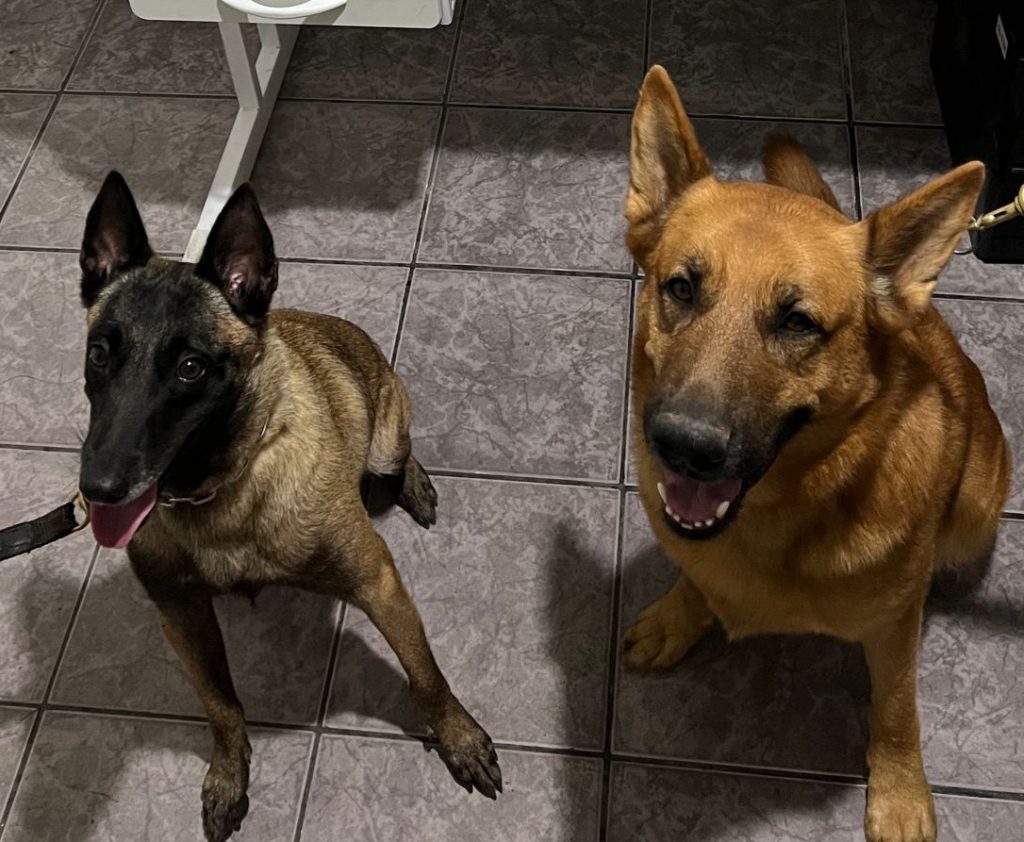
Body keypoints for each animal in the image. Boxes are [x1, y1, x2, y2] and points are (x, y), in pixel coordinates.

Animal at [76, 173, 502, 842]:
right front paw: (229, 775)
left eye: (191, 368)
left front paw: (458, 736)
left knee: (400, 454)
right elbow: (221, 704)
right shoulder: (181, 615)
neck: (220, 487)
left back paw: (414, 483)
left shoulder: (377, 581)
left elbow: (426, 674)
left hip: (387, 435)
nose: (98, 489)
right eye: (100, 353)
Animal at [622, 67, 1010, 842]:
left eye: (796, 322)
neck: (781, 517)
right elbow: (693, 578)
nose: (682, 447)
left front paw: (898, 790)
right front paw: (681, 614)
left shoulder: (894, 632)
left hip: (980, 504)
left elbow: (896, 712)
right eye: (681, 287)